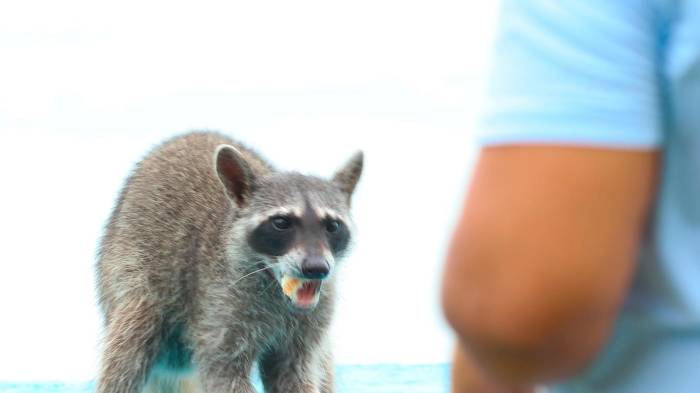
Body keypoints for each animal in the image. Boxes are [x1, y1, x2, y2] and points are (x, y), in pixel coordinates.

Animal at [95, 132, 364, 392]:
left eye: (332, 226)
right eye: (281, 223)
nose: (317, 268)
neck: (273, 285)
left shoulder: (311, 320)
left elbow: (297, 373)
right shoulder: (220, 305)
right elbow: (224, 373)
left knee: (324, 363)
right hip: (130, 269)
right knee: (131, 340)